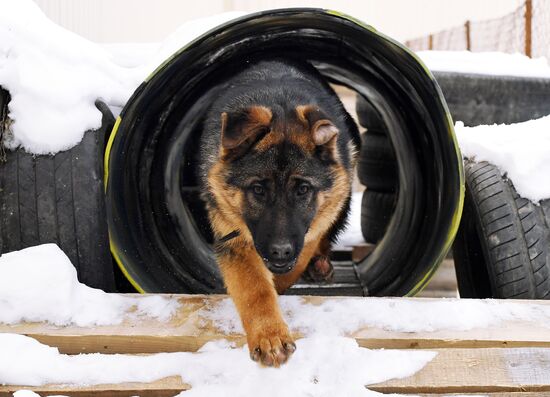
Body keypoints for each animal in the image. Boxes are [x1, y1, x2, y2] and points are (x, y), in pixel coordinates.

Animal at [201, 58, 360, 366]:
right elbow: (256, 289)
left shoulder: (314, 225)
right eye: (258, 189)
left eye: (302, 189)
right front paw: (270, 336)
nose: (280, 251)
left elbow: (298, 260)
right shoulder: (234, 239)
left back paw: (320, 266)